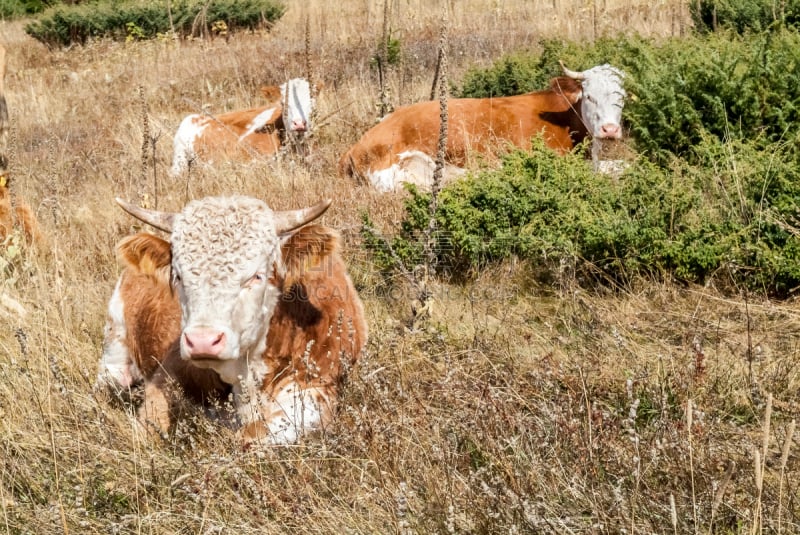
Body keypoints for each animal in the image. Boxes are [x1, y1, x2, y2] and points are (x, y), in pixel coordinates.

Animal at [97, 195, 368, 446]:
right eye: (178, 276)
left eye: (257, 276)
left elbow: (253, 436)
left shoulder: (318, 387)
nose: (203, 341)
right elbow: (147, 428)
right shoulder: (168, 370)